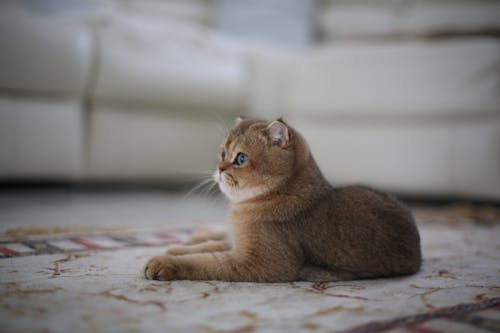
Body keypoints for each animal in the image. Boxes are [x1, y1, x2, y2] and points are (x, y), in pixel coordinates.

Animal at [145, 116, 422, 280]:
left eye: (241, 158)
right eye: (222, 153)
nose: (220, 169)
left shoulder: (262, 263)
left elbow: (208, 262)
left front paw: (165, 262)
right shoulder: (241, 243)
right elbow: (211, 246)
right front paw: (179, 247)